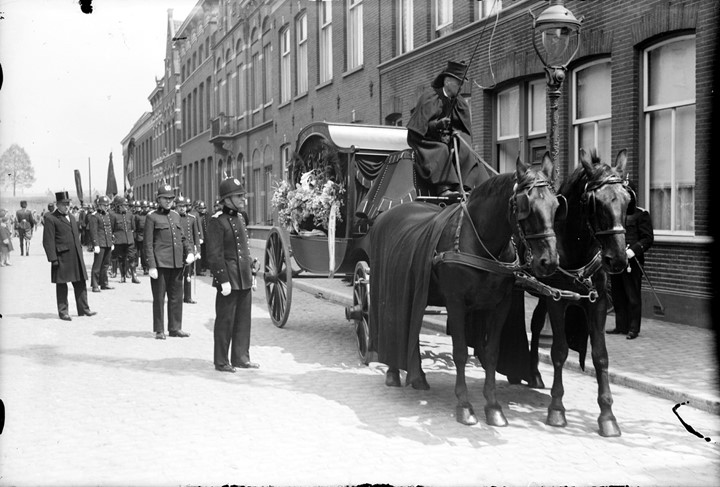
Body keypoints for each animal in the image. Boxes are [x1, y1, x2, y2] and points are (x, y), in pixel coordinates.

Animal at [372, 152, 564, 428]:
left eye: (556, 206)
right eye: (526, 206)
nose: (549, 261)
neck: (482, 243)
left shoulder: (499, 305)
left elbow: (491, 353)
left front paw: (493, 407)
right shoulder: (456, 303)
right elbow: (461, 352)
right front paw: (464, 405)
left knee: (412, 329)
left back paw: (417, 376)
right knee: (395, 325)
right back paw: (394, 372)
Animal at [524, 147, 632, 436]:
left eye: (628, 200)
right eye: (595, 202)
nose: (618, 259)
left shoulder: (598, 302)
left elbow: (600, 356)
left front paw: (608, 416)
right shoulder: (557, 300)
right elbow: (560, 351)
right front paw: (556, 409)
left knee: (536, 325)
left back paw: (534, 374)